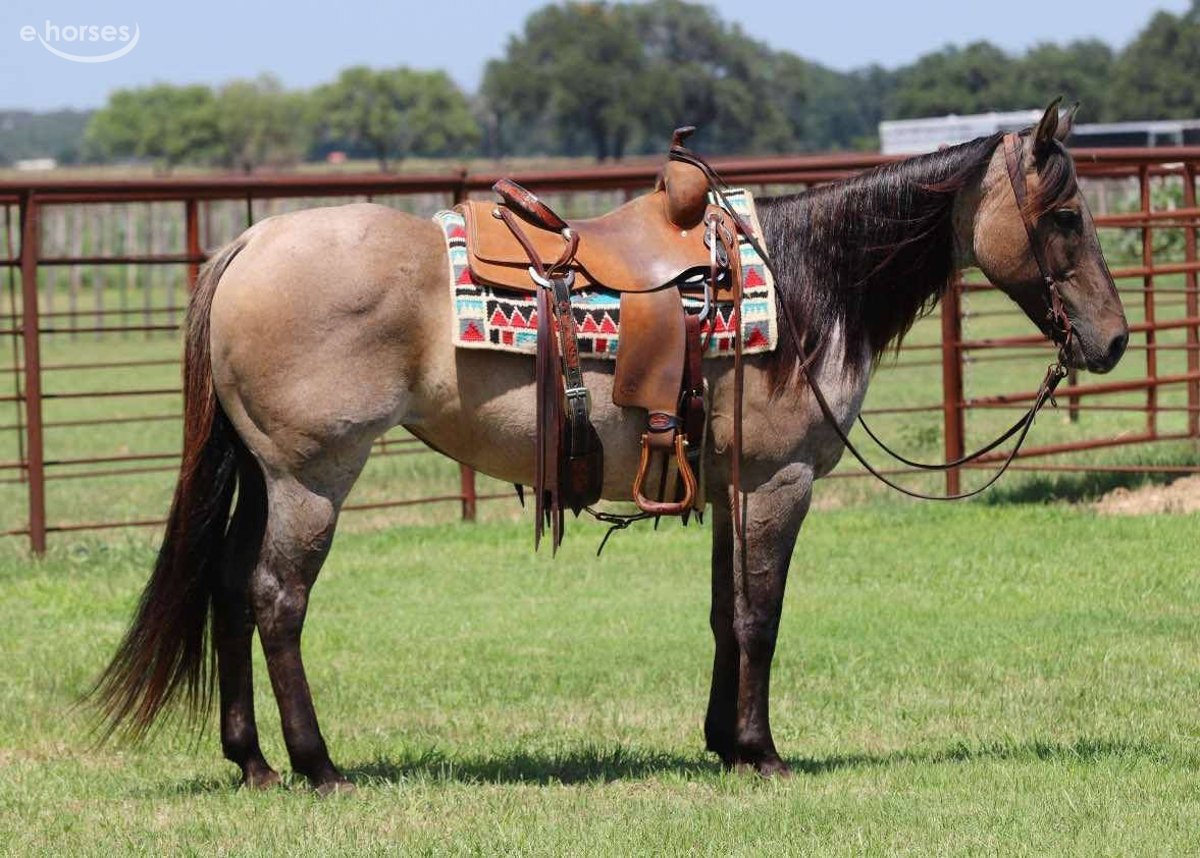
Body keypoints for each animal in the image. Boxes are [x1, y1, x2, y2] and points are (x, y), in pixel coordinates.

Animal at [92, 102, 1127, 793]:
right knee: (277, 599)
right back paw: (317, 765)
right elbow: (761, 618)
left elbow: (724, 616)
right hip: (314, 476)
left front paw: (723, 742)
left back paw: (253, 761)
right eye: (1067, 216)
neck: (802, 289)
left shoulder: (729, 488)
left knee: (231, 589)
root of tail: (251, 244)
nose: (1113, 340)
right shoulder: (778, 482)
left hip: (267, 474)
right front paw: (763, 752)